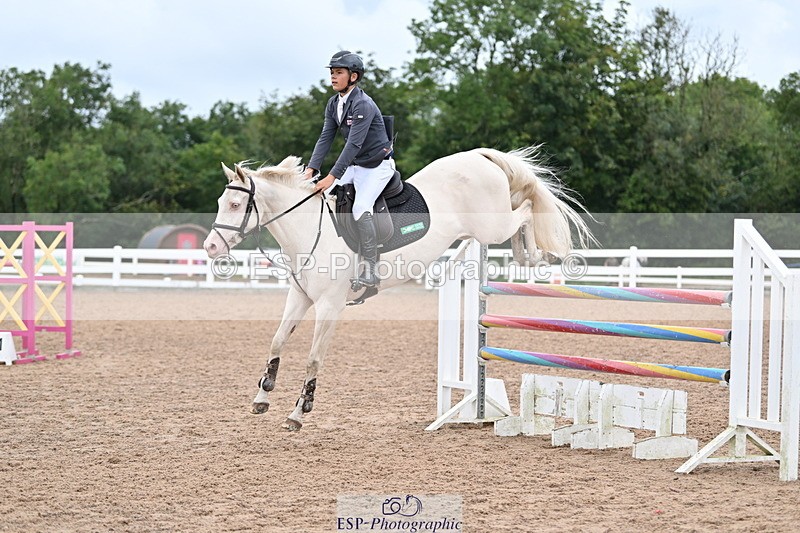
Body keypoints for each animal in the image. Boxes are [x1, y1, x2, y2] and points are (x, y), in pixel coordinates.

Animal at [203, 146, 593, 430]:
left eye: (236, 204)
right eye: (221, 203)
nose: (210, 247)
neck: (309, 230)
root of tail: (480, 155)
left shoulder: (330, 306)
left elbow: (314, 358)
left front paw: (299, 412)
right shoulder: (299, 298)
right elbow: (277, 341)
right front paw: (262, 397)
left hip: (491, 227)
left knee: (525, 208)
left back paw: (531, 255)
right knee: (522, 207)